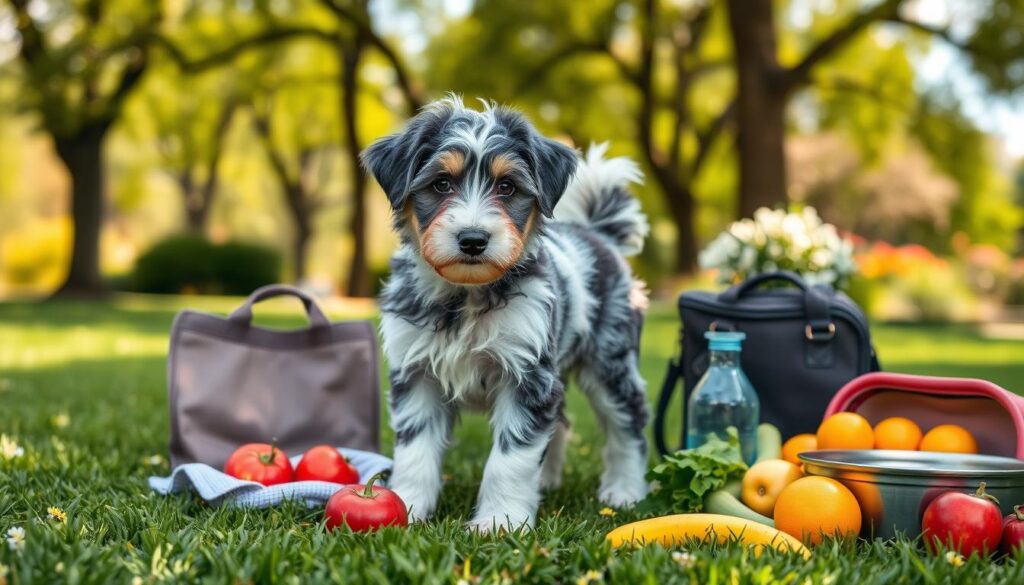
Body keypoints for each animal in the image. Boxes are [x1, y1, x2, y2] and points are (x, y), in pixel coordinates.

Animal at [360, 96, 647, 532]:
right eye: (441, 184)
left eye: (507, 186)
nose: (473, 239)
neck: (465, 298)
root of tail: (600, 236)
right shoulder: (416, 373)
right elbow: (415, 451)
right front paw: (406, 506)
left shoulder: (528, 375)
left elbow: (510, 459)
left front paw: (500, 522)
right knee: (562, 422)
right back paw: (548, 482)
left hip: (610, 359)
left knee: (628, 420)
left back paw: (625, 490)